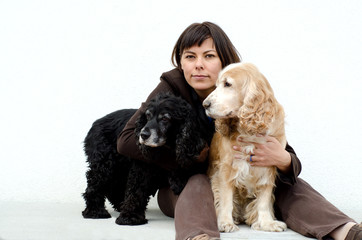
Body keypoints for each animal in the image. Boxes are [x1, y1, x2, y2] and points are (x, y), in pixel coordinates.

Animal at [82, 92, 206, 225]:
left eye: (165, 119)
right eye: (147, 116)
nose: (143, 135)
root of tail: (95, 123)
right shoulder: (141, 166)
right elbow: (135, 191)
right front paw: (129, 217)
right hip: (104, 164)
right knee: (94, 186)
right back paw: (95, 211)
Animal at [205, 62, 288, 232]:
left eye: (227, 84)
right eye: (216, 85)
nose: (205, 104)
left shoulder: (269, 166)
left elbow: (264, 200)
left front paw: (267, 223)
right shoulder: (226, 167)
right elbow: (226, 198)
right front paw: (225, 222)